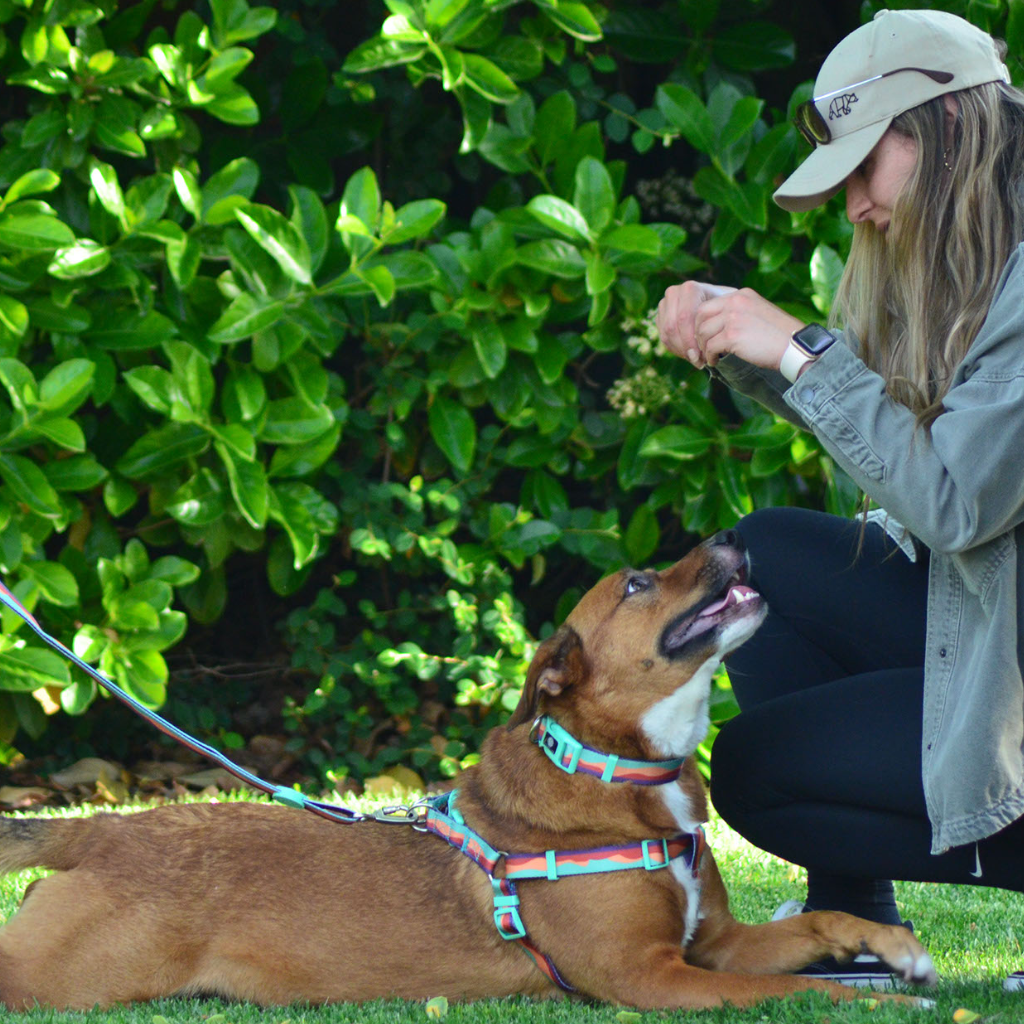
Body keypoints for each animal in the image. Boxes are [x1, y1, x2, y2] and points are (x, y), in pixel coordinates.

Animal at [0, 532, 937, 1011]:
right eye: (638, 582)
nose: (734, 539)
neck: (625, 775)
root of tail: (100, 831)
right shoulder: (653, 979)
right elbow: (798, 1001)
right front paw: (887, 999)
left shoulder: (715, 944)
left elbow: (823, 923)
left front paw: (898, 952)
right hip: (63, 979)